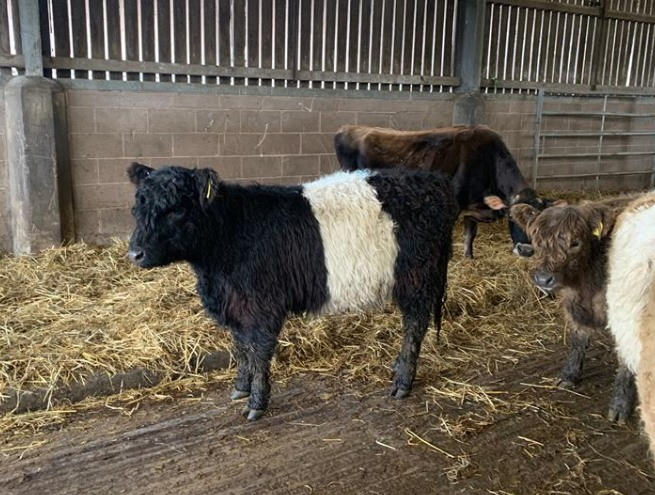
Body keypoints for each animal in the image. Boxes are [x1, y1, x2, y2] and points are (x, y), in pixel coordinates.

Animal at [127, 162, 458, 421]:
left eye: (177, 210)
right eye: (137, 207)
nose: (135, 253)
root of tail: (433, 180)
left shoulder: (262, 306)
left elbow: (259, 352)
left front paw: (256, 403)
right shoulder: (237, 306)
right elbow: (241, 348)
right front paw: (240, 388)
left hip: (416, 278)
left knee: (415, 326)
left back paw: (403, 382)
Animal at [334, 124, 551, 259]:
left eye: (539, 220)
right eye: (512, 217)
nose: (526, 251)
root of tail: (349, 128)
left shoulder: (473, 206)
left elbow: (470, 234)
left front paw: (468, 257)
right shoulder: (452, 206)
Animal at [510, 194, 641, 423]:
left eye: (575, 242)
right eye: (536, 241)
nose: (543, 278)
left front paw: (620, 405)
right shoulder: (575, 306)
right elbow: (577, 342)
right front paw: (568, 376)